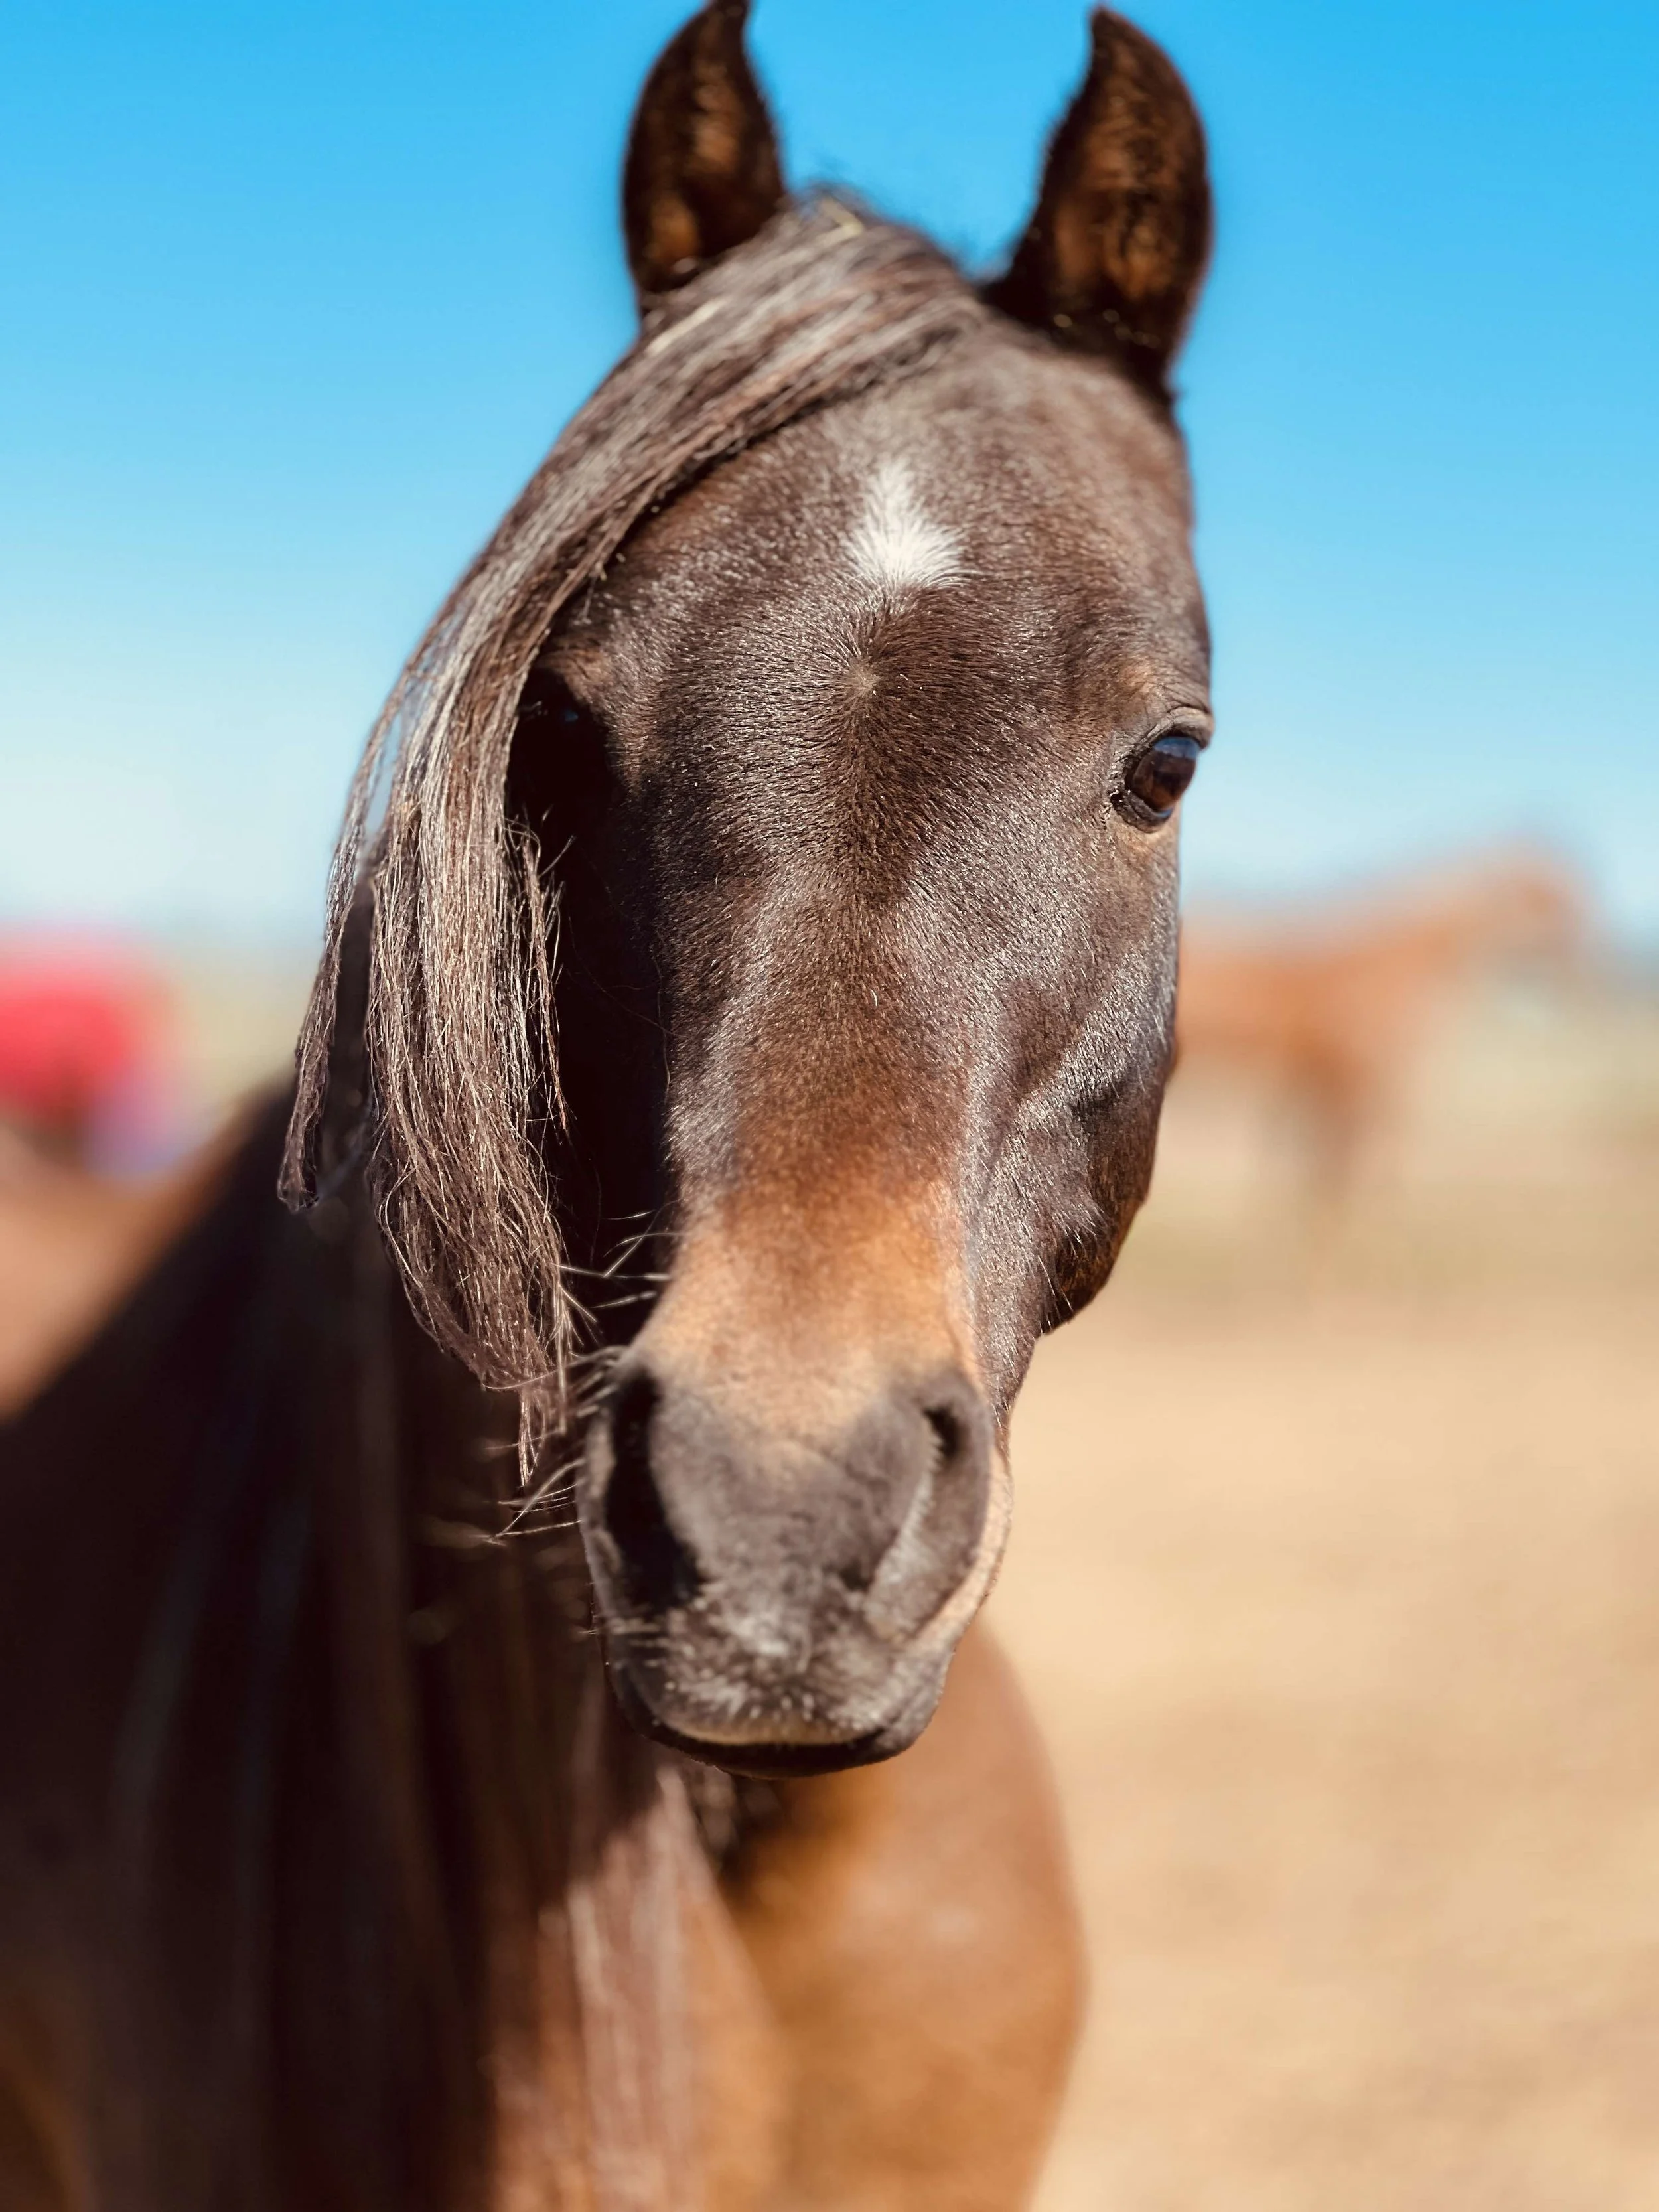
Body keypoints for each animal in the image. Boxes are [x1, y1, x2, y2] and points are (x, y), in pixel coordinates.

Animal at [1175, 851, 1586, 1200]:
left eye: (1562, 893)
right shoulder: (1353, 1079)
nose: (1580, 957)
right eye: (1543, 896)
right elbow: (1338, 1180)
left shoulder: (1330, 1084)